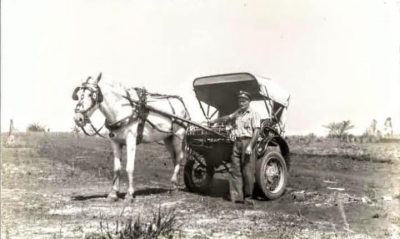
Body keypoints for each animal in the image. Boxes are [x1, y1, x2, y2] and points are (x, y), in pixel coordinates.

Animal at [72, 73, 190, 202]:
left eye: (90, 94)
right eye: (78, 94)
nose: (78, 118)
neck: (122, 110)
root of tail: (181, 104)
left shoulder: (131, 141)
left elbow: (129, 168)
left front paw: (129, 194)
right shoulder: (115, 142)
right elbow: (117, 168)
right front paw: (113, 193)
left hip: (178, 136)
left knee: (179, 158)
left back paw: (173, 185)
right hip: (168, 138)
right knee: (174, 158)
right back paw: (174, 185)